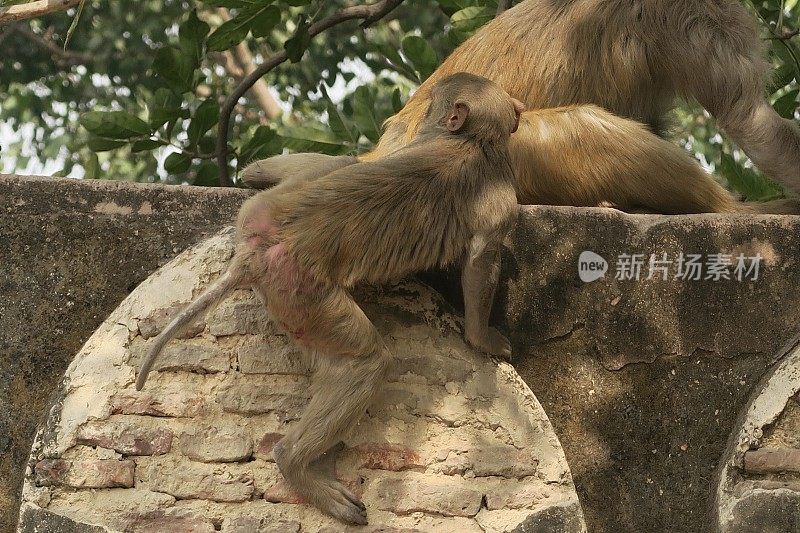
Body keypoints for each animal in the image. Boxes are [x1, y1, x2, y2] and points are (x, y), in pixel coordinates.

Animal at [138, 72, 524, 524]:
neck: (473, 141)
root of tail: (257, 249)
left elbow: (367, 162)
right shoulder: (503, 196)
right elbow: (481, 259)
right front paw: (484, 339)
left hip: (272, 241)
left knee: (343, 165)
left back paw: (255, 173)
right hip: (302, 293)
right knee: (368, 362)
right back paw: (293, 462)